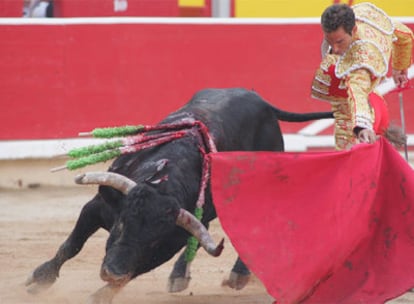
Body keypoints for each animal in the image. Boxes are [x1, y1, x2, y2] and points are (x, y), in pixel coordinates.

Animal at [25, 87, 334, 302]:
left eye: (152, 241)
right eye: (121, 225)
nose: (112, 270)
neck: (164, 178)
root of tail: (263, 103)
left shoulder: (166, 245)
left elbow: (133, 272)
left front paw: (102, 294)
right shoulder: (99, 206)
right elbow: (71, 245)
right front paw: (40, 279)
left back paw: (234, 275)